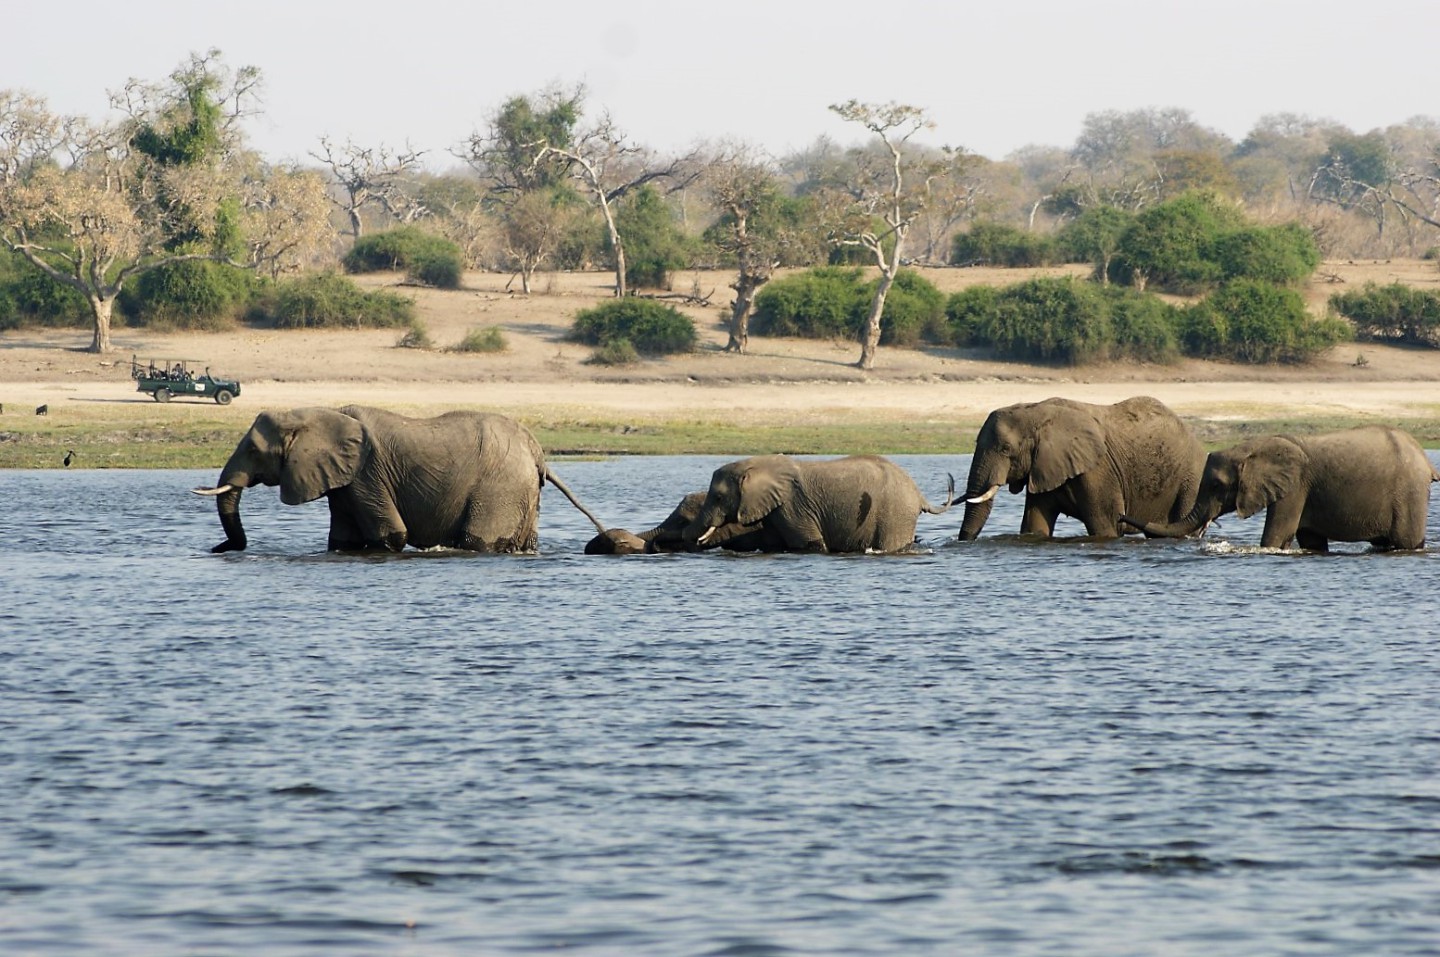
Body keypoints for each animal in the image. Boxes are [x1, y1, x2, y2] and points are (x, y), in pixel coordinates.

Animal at [188, 402, 604, 552]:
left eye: (254, 450)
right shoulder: (344, 483)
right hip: (521, 491)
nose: (219, 549)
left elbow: (390, 535)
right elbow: (341, 539)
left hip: (500, 486)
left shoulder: (366, 475)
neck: (317, 412)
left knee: (477, 540)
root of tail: (537, 453)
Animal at [676, 454, 950, 552]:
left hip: (895, 514)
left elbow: (809, 544)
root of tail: (919, 494)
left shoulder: (792, 506)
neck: (758, 463)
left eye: (718, 497)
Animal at [961, 394, 1209, 538]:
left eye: (1005, 449)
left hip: (1192, 481)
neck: (1036, 410)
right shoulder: (1045, 467)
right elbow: (1035, 525)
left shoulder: (1098, 472)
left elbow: (1105, 526)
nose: (963, 541)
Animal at [1123, 425, 1440, 552]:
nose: (1121, 516)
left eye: (1216, 485)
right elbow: (1310, 541)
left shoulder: (1296, 486)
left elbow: (1275, 537)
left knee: (1406, 542)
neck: (1252, 447)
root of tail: (1426, 462)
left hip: (1409, 494)